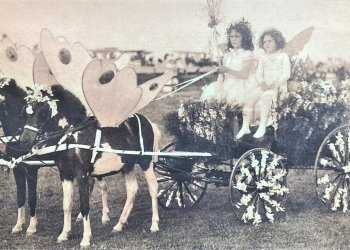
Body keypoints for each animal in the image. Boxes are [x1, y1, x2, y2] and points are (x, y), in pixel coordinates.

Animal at [20, 85, 160, 247]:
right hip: (127, 166)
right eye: (26, 110)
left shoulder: (82, 176)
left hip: (145, 162)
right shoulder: (65, 175)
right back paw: (119, 225)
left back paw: (154, 225)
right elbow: (67, 205)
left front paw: (86, 239)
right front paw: (64, 234)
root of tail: (148, 121)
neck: (72, 138)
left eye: (42, 111)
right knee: (132, 190)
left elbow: (84, 206)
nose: (24, 140)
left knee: (153, 188)